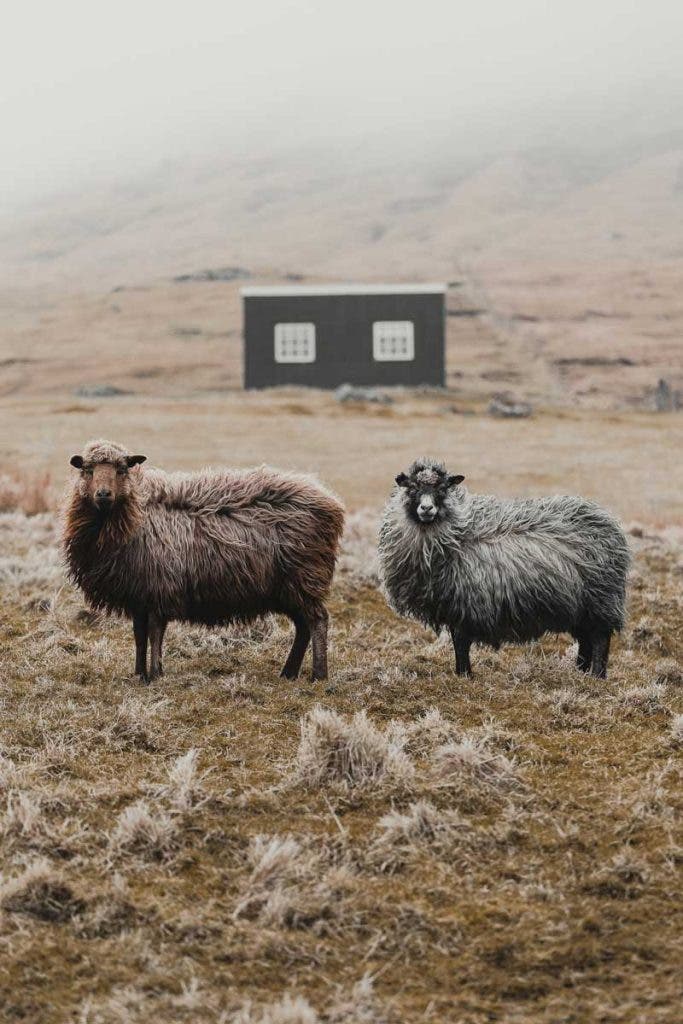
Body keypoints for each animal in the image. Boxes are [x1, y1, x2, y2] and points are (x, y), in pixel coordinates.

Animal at [62, 439, 344, 682]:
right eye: (88, 470)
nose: (103, 494)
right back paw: (289, 673)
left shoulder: (158, 588)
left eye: (121, 469)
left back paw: (318, 675)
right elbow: (139, 636)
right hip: (287, 587)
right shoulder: (138, 594)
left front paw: (156, 674)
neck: (135, 517)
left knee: (317, 620)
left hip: (304, 576)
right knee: (303, 625)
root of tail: (329, 502)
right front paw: (139, 674)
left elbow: (155, 633)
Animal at [378, 459, 630, 679]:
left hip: (600, 599)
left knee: (600, 638)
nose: (426, 508)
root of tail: (607, 521)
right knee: (585, 639)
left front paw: (464, 675)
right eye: (412, 488)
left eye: (442, 489)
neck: (455, 535)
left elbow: (460, 643)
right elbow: (458, 643)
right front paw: (462, 673)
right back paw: (580, 672)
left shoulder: (465, 602)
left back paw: (596, 676)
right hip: (579, 606)